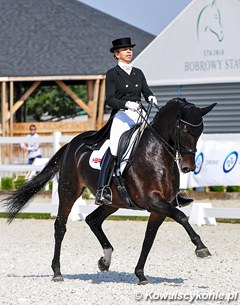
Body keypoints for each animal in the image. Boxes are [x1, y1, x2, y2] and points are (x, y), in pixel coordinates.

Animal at [3, 98, 218, 284]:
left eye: (201, 131)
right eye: (184, 129)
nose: (189, 167)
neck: (157, 155)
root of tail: (72, 143)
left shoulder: (159, 208)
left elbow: (148, 239)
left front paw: (140, 274)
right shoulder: (153, 201)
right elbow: (181, 217)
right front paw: (201, 248)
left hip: (113, 202)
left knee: (93, 220)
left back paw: (105, 260)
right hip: (69, 192)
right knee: (60, 227)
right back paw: (57, 272)